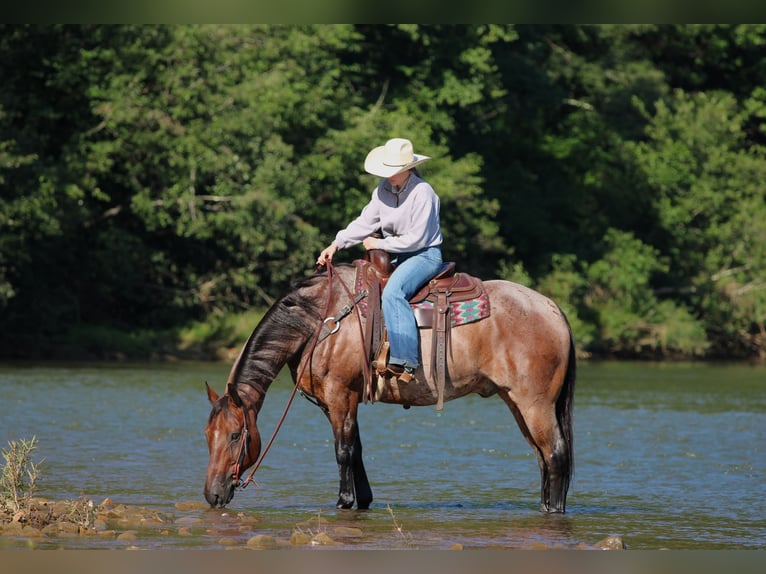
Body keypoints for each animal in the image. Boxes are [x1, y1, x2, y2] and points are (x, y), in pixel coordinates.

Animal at [204, 260, 576, 513]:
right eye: (208, 435)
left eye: (235, 435)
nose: (212, 494)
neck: (320, 320)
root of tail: (553, 309)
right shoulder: (340, 400)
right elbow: (356, 449)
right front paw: (363, 499)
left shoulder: (340, 394)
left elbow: (343, 451)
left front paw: (344, 500)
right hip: (516, 403)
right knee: (543, 457)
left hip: (535, 404)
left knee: (555, 455)